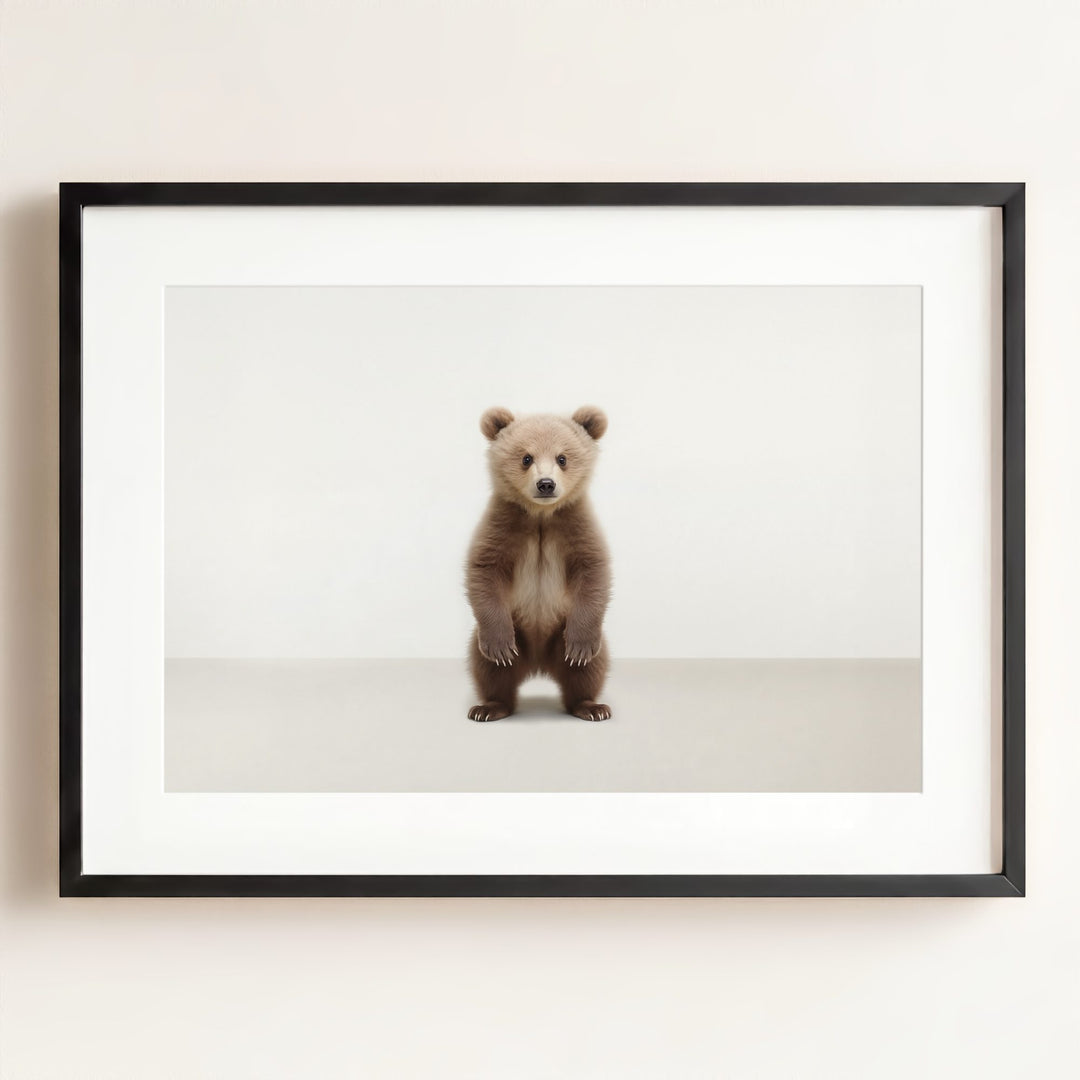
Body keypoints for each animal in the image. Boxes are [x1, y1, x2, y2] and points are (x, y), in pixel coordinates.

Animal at [465, 405, 612, 723]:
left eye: (562, 458)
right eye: (526, 457)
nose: (546, 484)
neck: (541, 516)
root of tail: (538, 665)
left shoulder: (575, 524)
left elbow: (593, 571)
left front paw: (581, 647)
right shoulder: (503, 524)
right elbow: (484, 570)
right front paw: (499, 647)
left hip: (561, 633)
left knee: (589, 669)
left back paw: (591, 707)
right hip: (515, 631)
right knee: (488, 668)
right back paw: (489, 707)